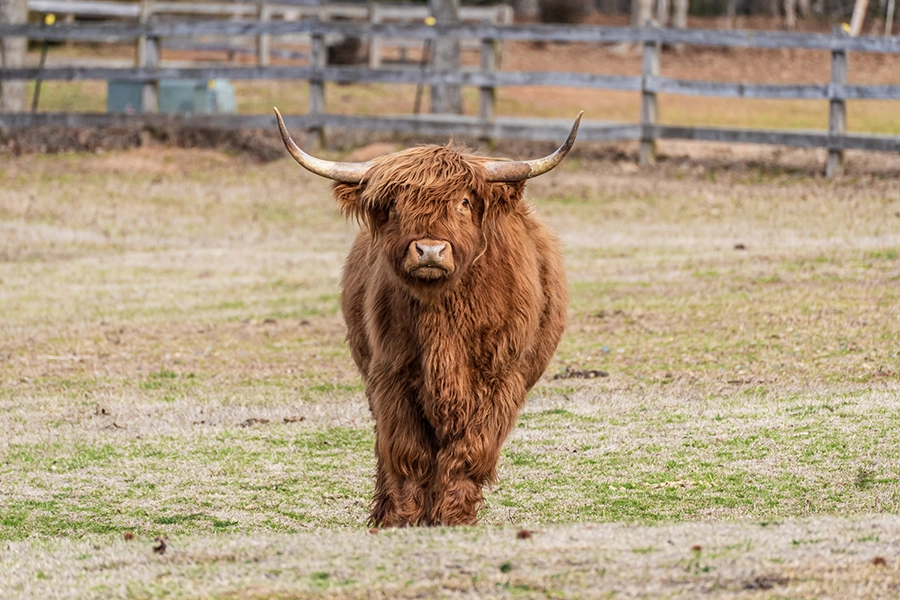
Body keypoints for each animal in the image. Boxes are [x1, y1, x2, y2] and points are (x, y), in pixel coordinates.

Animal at [274, 108, 580, 526]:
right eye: (395, 204)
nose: (430, 250)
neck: (442, 327)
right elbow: (407, 454)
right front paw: (403, 519)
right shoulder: (392, 376)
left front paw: (454, 517)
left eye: (464, 201)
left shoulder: (500, 378)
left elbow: (469, 453)